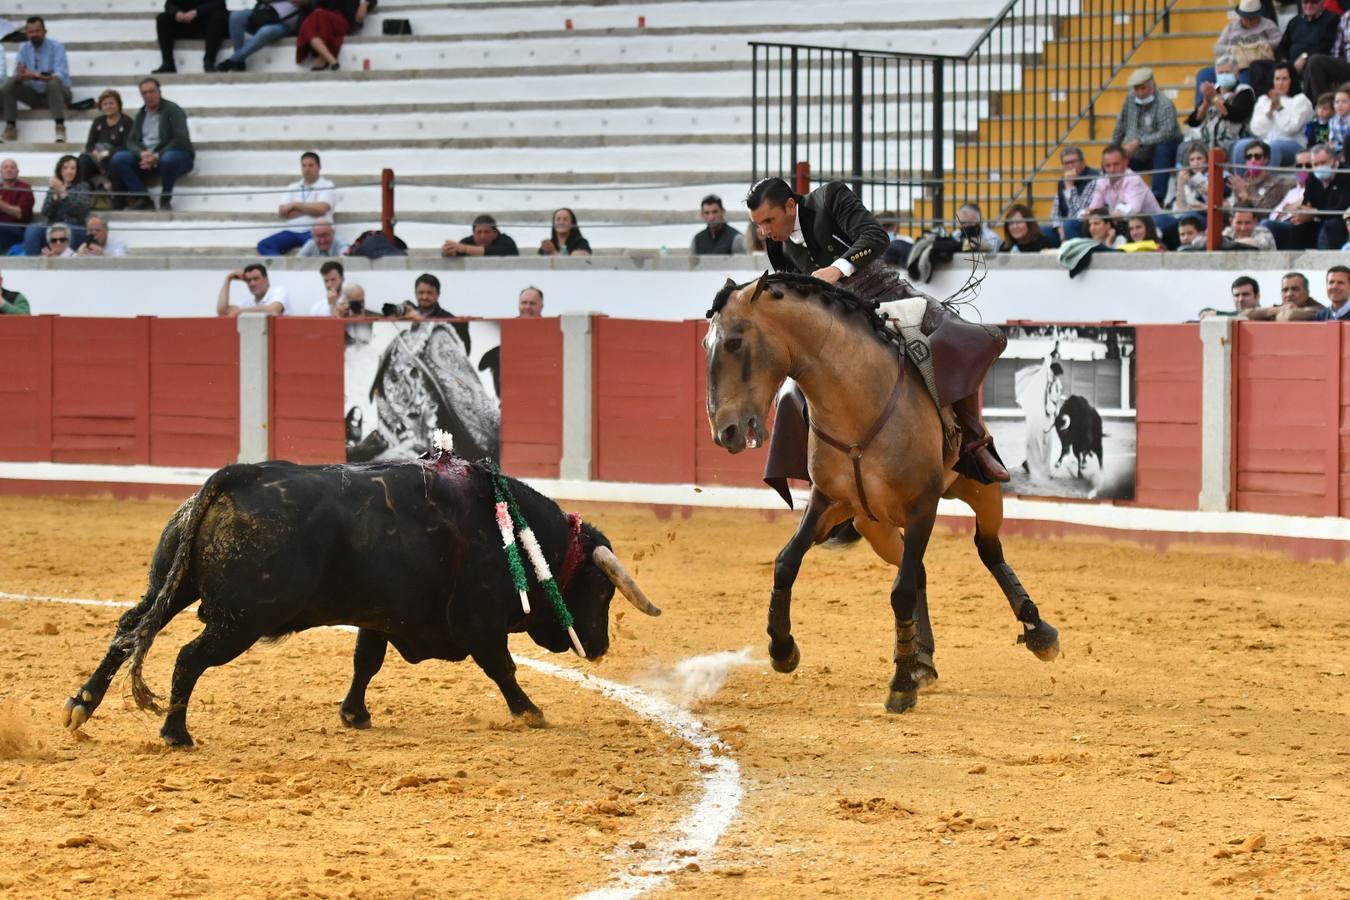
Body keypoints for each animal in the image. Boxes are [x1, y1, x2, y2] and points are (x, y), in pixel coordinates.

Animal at [60, 458, 661, 744]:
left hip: (173, 585)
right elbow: (502, 668)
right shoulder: (479, 623)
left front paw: (354, 714)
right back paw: (175, 734)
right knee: (188, 657)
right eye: (601, 589)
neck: (513, 532)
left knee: (129, 628)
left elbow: (364, 661)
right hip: (239, 620)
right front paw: (531, 712)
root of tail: (234, 479)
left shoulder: (382, 616)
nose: (600, 647)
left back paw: (81, 705)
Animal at [702, 271, 1058, 712]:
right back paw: (922, 658)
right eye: (706, 345)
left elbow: (900, 592)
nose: (726, 431)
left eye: (735, 342)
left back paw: (1037, 629)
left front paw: (901, 684)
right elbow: (786, 562)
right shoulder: (828, 500)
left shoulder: (923, 506)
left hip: (980, 488)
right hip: (873, 525)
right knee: (917, 568)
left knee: (987, 549)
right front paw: (782, 649)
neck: (854, 402)